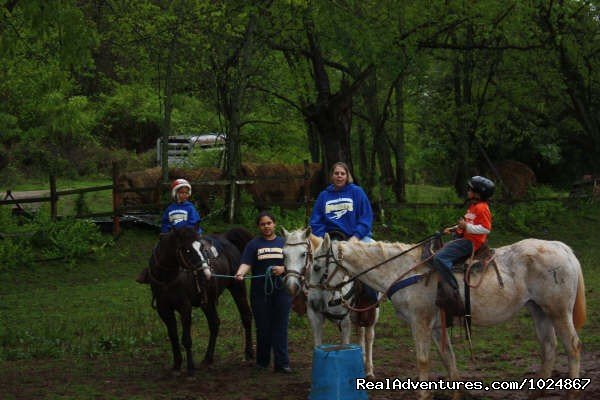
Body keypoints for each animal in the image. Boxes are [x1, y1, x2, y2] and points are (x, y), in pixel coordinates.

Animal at [149, 228, 254, 376]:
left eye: (201, 248)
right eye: (187, 250)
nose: (206, 272)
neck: (167, 279)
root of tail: (226, 238)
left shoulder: (185, 307)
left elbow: (186, 339)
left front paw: (190, 368)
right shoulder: (164, 309)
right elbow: (173, 336)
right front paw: (176, 365)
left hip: (237, 287)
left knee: (246, 316)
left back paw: (249, 353)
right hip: (207, 301)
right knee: (214, 323)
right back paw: (208, 358)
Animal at [282, 228, 380, 378]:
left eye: (303, 254)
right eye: (284, 254)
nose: (291, 286)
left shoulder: (344, 321)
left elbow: (346, 345)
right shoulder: (315, 317)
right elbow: (317, 345)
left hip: (371, 312)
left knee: (369, 335)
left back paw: (369, 370)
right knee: (360, 332)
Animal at [312, 234, 584, 400]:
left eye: (316, 266)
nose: (315, 297)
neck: (404, 271)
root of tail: (562, 248)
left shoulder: (420, 323)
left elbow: (423, 360)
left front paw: (423, 395)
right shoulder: (435, 327)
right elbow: (448, 357)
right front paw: (456, 393)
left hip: (558, 311)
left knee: (572, 346)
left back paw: (571, 393)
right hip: (539, 310)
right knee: (549, 347)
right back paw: (536, 393)